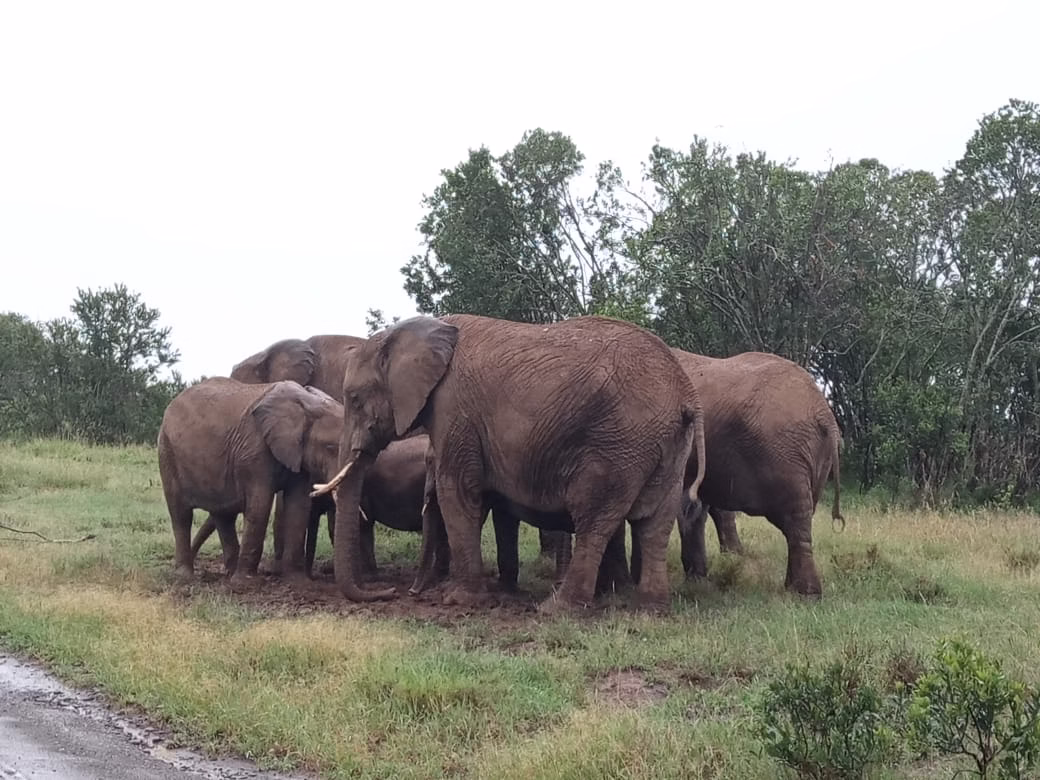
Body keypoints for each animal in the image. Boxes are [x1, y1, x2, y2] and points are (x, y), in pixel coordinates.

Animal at [157, 378, 344, 582]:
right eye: (330, 447)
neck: (307, 404)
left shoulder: (298, 454)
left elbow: (299, 506)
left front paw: (298, 581)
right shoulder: (254, 450)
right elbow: (260, 506)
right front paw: (245, 583)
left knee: (223, 514)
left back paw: (229, 574)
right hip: (167, 452)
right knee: (181, 514)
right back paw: (186, 576)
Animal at [311, 313, 706, 612]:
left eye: (354, 399)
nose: (394, 593)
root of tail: (686, 394)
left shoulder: (455, 409)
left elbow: (458, 492)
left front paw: (459, 600)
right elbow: (495, 504)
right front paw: (501, 592)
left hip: (617, 444)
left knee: (594, 519)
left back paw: (557, 609)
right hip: (665, 445)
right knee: (654, 522)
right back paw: (650, 608)